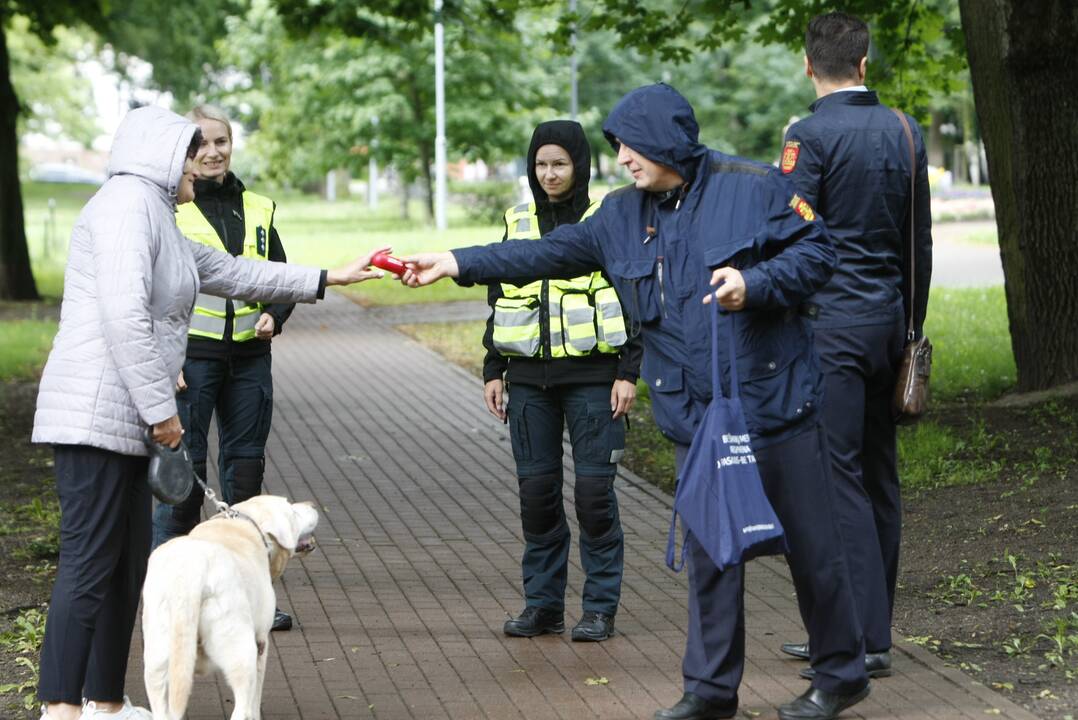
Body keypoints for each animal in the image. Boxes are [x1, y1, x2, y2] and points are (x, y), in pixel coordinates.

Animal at [140, 495, 314, 719]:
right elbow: (255, 699)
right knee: (241, 706)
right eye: (293, 511)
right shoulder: (261, 643)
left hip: (157, 660)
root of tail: (190, 574)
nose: (312, 504)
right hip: (240, 649)